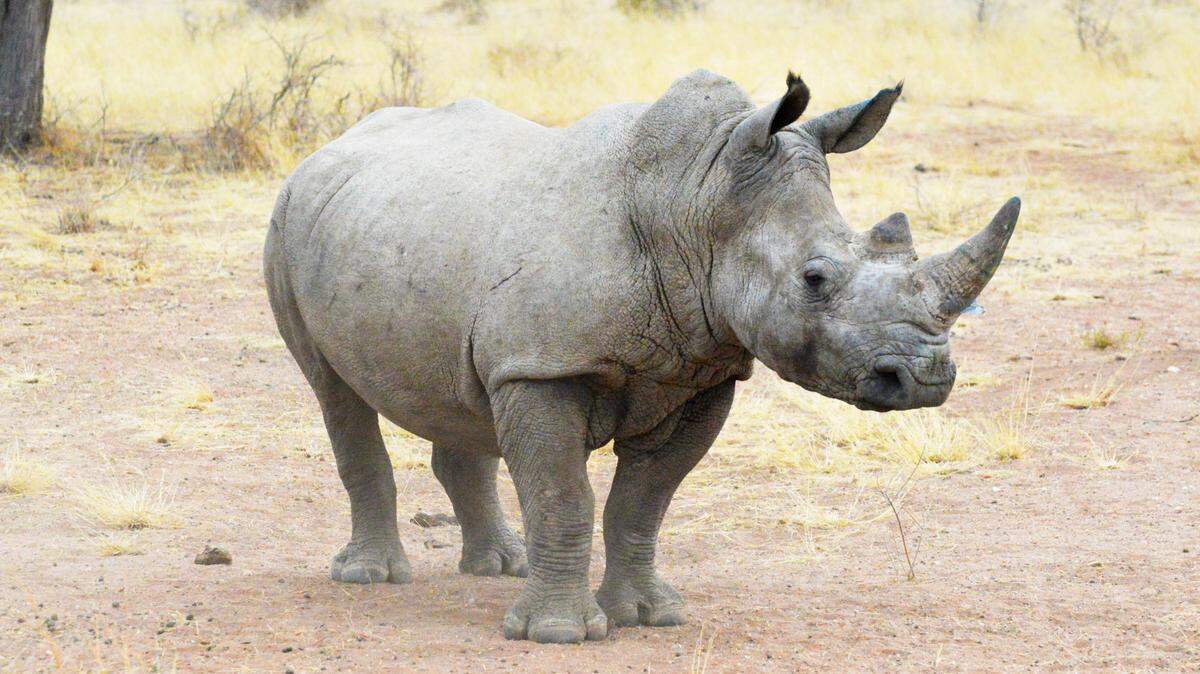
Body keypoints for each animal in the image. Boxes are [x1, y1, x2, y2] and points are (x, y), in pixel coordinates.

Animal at [264, 69, 1020, 644]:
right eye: (814, 279)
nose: (925, 378)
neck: (697, 199)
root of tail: (331, 146)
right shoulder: (544, 366)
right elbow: (563, 493)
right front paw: (559, 634)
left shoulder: (699, 370)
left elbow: (645, 501)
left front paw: (649, 616)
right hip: (286, 219)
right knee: (335, 392)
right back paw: (370, 577)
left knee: (461, 393)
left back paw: (502, 566)